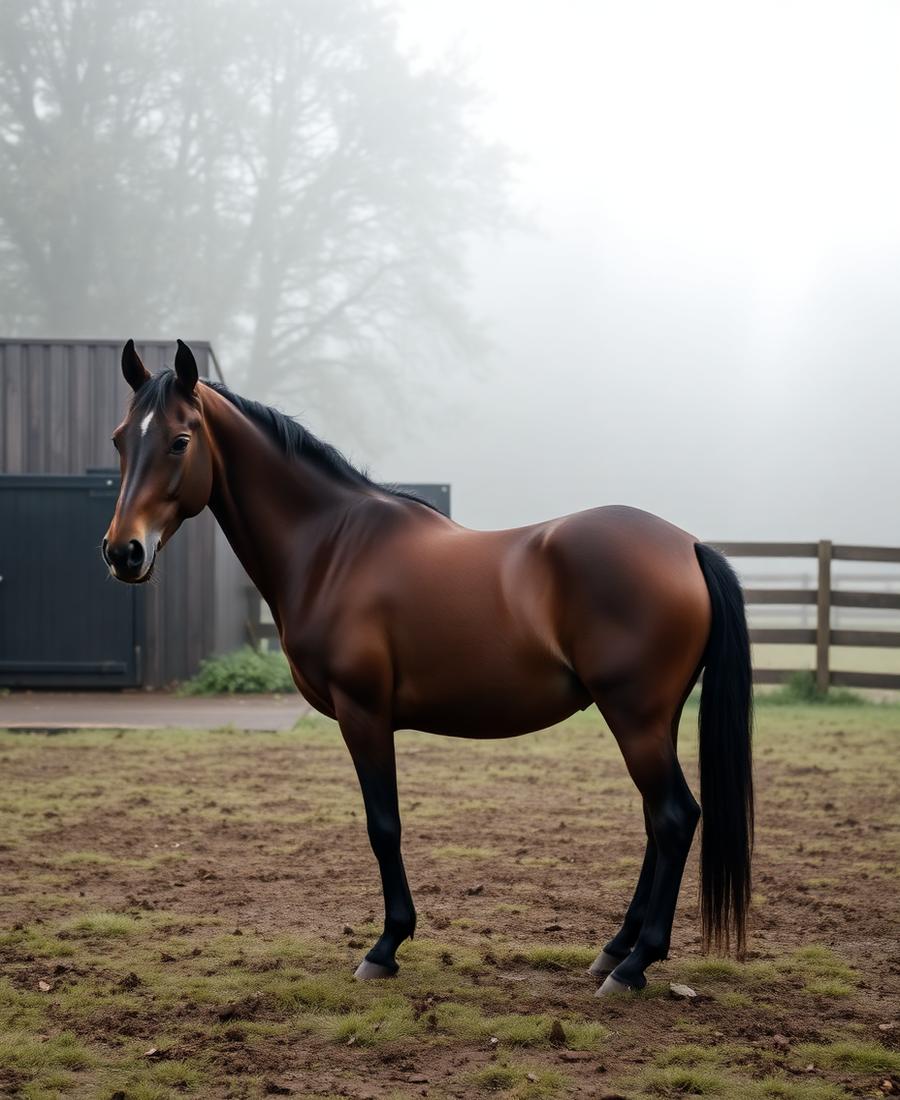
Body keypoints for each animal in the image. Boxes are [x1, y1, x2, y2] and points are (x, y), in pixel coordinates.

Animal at [103, 338, 753, 996]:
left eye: (180, 440)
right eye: (120, 439)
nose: (122, 552)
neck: (332, 546)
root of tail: (688, 546)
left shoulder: (363, 713)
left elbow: (383, 826)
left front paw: (385, 946)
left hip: (634, 717)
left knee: (673, 818)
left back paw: (634, 963)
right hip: (652, 719)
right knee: (655, 821)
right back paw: (615, 948)